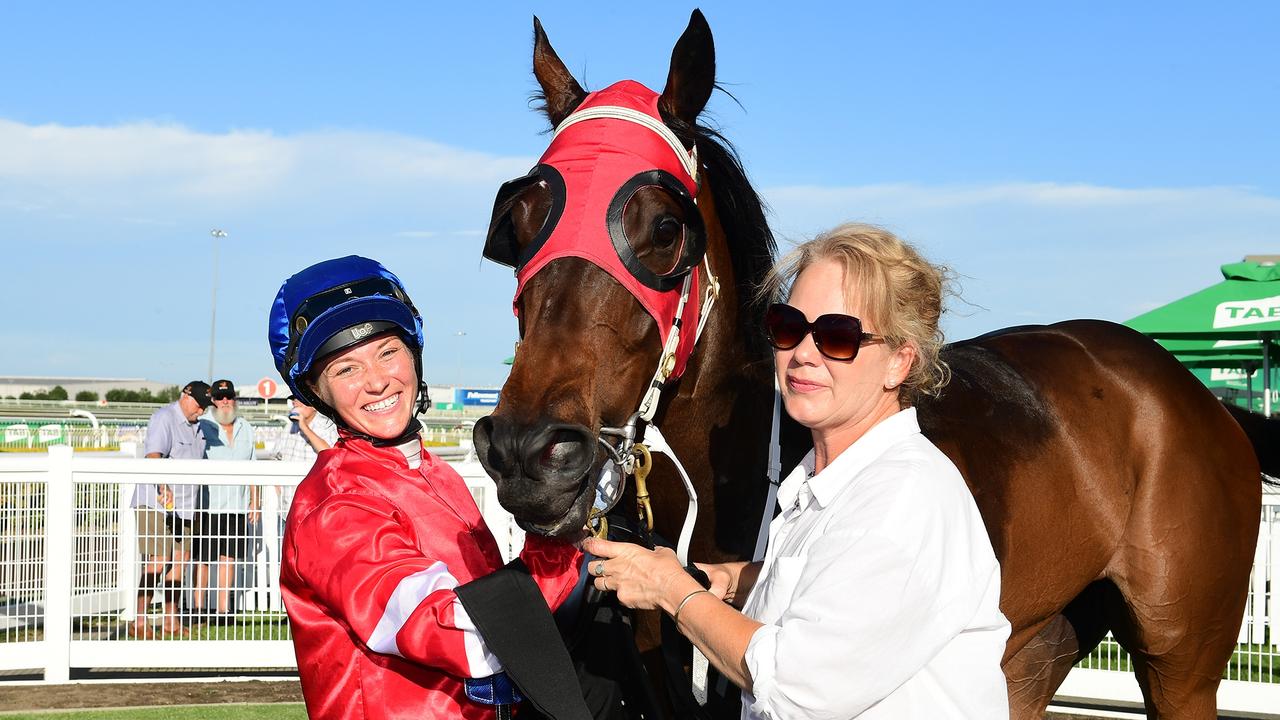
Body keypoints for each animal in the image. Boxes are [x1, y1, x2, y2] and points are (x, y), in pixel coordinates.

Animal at [473, 11, 1269, 717]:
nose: (525, 449)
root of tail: (1193, 393)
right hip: (1034, 644)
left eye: (665, 228)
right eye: (517, 225)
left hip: (1182, 661)